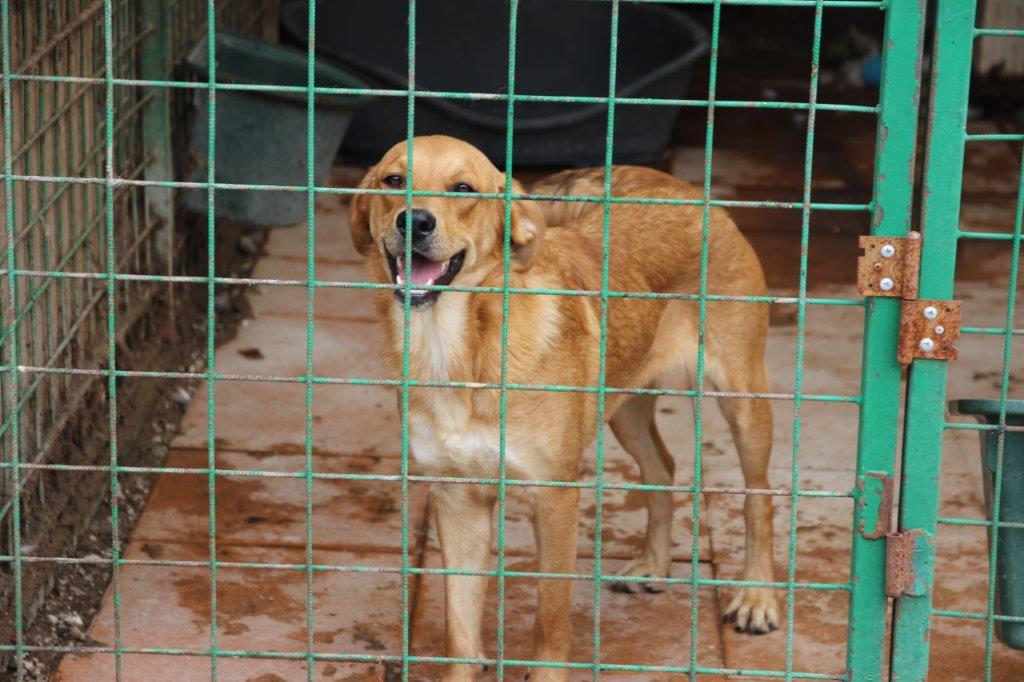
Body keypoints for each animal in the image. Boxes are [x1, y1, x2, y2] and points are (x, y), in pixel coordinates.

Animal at [349, 135, 776, 681]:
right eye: (393, 180)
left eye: (464, 188)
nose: (415, 221)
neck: (459, 350)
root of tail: (681, 188)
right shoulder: (458, 499)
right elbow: (459, 631)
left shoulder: (555, 499)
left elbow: (550, 622)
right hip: (626, 405)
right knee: (662, 466)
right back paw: (654, 562)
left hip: (742, 397)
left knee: (759, 494)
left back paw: (758, 596)